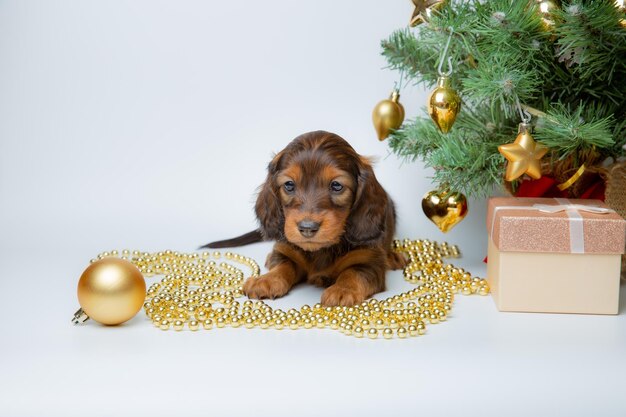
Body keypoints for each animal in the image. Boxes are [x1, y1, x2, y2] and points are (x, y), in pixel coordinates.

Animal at [201, 130, 404, 306]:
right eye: (289, 185)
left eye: (337, 185)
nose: (307, 228)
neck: (322, 250)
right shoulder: (287, 251)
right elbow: (284, 265)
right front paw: (267, 280)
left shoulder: (369, 262)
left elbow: (354, 272)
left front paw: (343, 289)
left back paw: (394, 257)